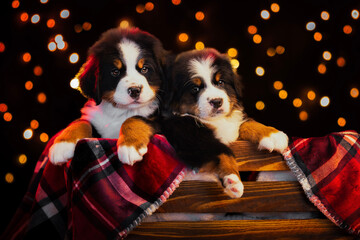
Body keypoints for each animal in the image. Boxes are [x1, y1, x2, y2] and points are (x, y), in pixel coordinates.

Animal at [48, 26, 169, 165]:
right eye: (115, 72)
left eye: (144, 69)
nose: (135, 90)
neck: (119, 111)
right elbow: (81, 121)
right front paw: (62, 145)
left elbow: (135, 118)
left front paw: (129, 145)